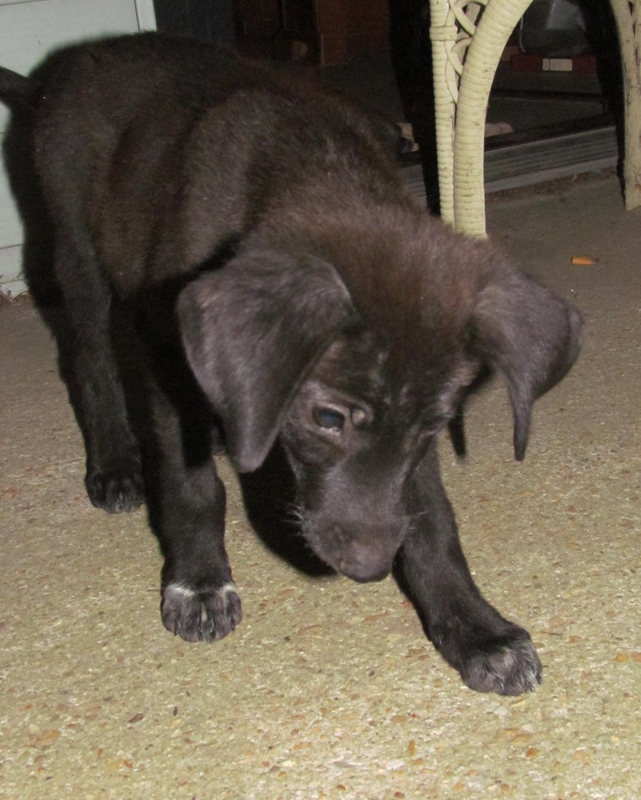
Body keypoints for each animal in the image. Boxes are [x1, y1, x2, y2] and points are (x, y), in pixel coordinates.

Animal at [0, 32, 580, 692]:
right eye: (327, 419)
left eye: (434, 426)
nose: (370, 567)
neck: (310, 165)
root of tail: (58, 71)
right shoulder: (166, 362)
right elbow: (191, 487)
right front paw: (199, 582)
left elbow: (432, 517)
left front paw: (476, 629)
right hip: (77, 246)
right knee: (90, 359)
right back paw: (116, 464)